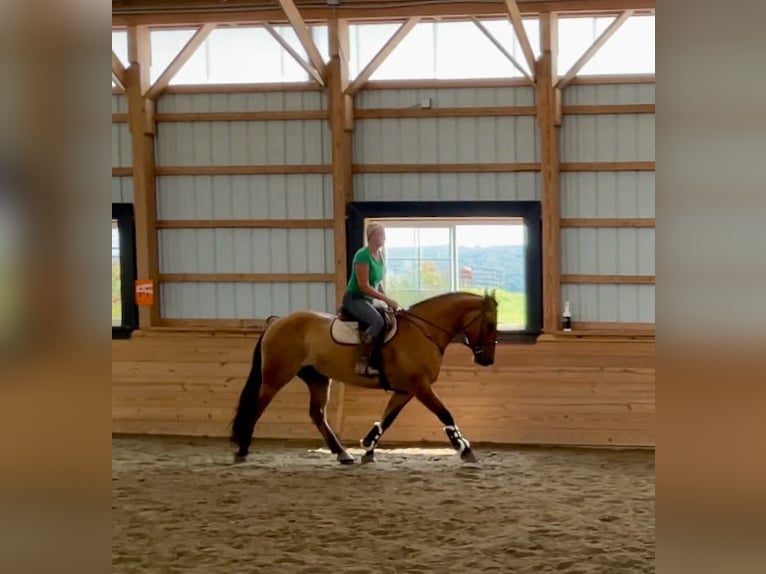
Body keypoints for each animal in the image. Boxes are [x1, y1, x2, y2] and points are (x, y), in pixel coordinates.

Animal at [231, 294, 500, 466]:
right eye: (490, 324)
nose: (487, 359)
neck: (423, 332)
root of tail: (277, 322)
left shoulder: (406, 389)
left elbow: (387, 419)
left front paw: (369, 446)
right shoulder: (420, 387)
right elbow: (445, 414)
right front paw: (464, 448)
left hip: (317, 379)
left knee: (317, 414)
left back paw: (342, 453)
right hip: (276, 377)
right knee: (256, 408)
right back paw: (242, 449)